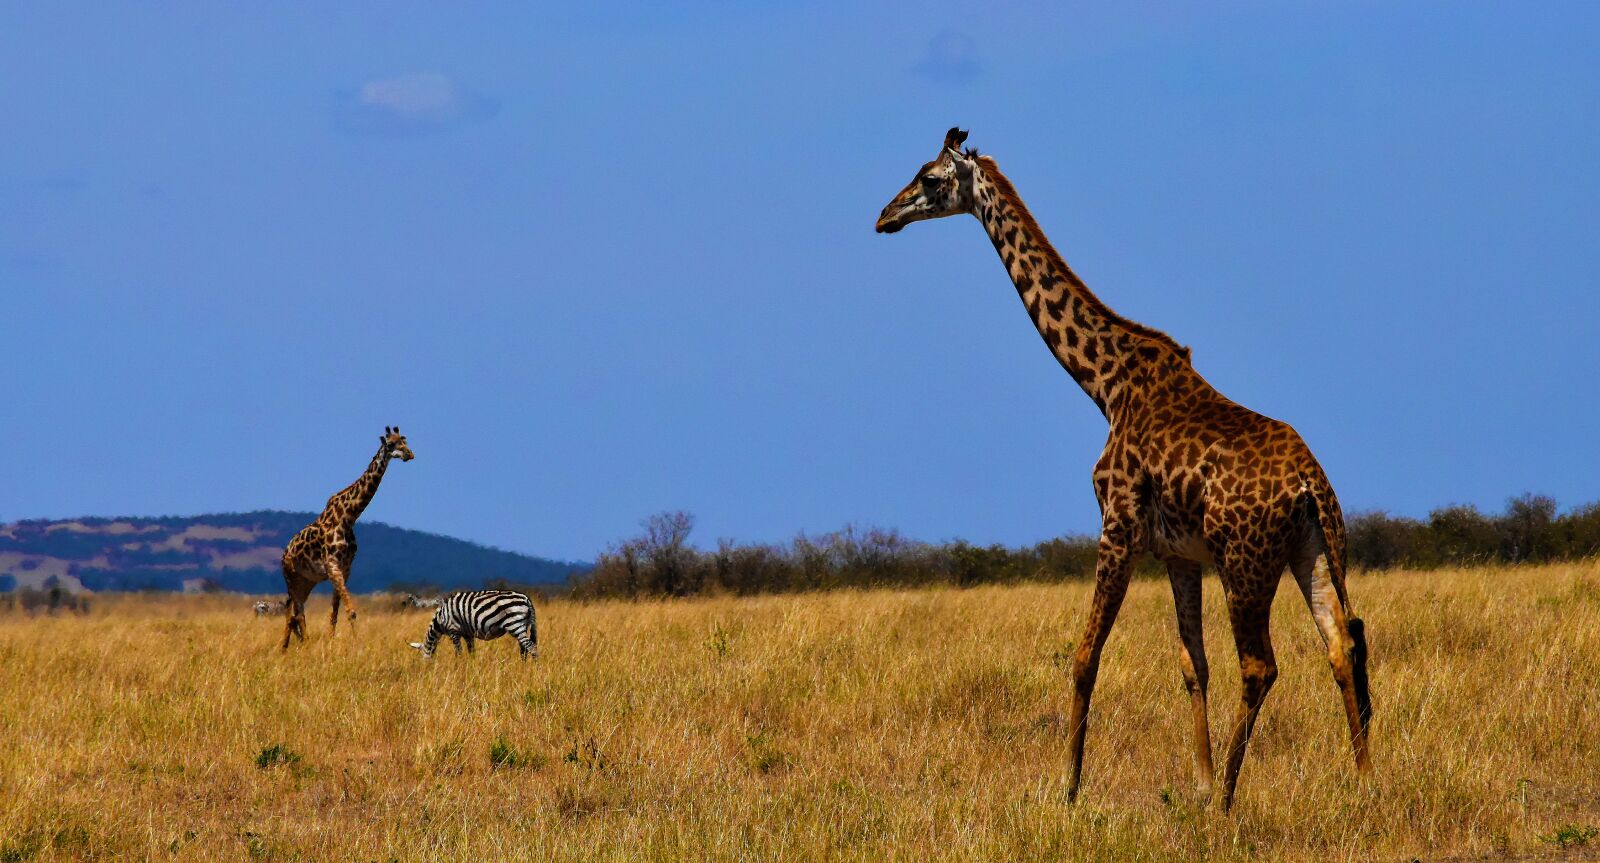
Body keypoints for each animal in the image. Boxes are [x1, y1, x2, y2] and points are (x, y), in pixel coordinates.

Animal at [279, 426, 414, 650]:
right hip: (291, 577)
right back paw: (300, 645)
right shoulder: (332, 566)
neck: (348, 517)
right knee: (297, 613)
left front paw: (331, 643)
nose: (409, 454)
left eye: (404, 440)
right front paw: (356, 645)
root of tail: (284, 553)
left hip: (306, 581)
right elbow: (351, 612)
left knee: (293, 613)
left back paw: (288, 647)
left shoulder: (346, 568)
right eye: (390, 444)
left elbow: (335, 614)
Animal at [875, 129, 1371, 810]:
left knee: (1261, 664)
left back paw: (1230, 800)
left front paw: (1068, 787)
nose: (884, 216)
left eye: (928, 177)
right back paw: (1366, 782)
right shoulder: (1179, 553)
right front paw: (1197, 781)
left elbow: (1085, 657)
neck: (1104, 384)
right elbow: (1193, 665)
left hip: (1245, 561)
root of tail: (1308, 484)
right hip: (1314, 548)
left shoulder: (1118, 527)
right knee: (1340, 644)